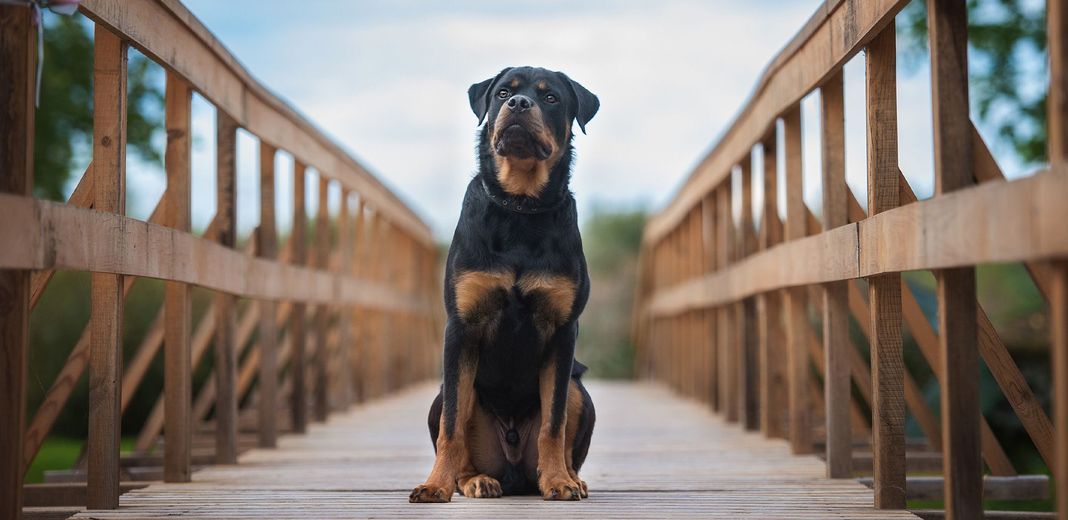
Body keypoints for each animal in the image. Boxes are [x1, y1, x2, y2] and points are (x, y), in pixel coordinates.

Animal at [405, 67, 598, 501]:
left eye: (550, 98)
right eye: (503, 92)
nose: (519, 103)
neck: (521, 206)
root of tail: (514, 472)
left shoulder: (563, 332)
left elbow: (554, 422)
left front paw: (559, 481)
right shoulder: (461, 328)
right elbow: (452, 428)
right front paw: (435, 485)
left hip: (579, 388)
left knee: (565, 426)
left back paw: (566, 477)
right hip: (445, 394)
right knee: (457, 427)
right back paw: (475, 479)